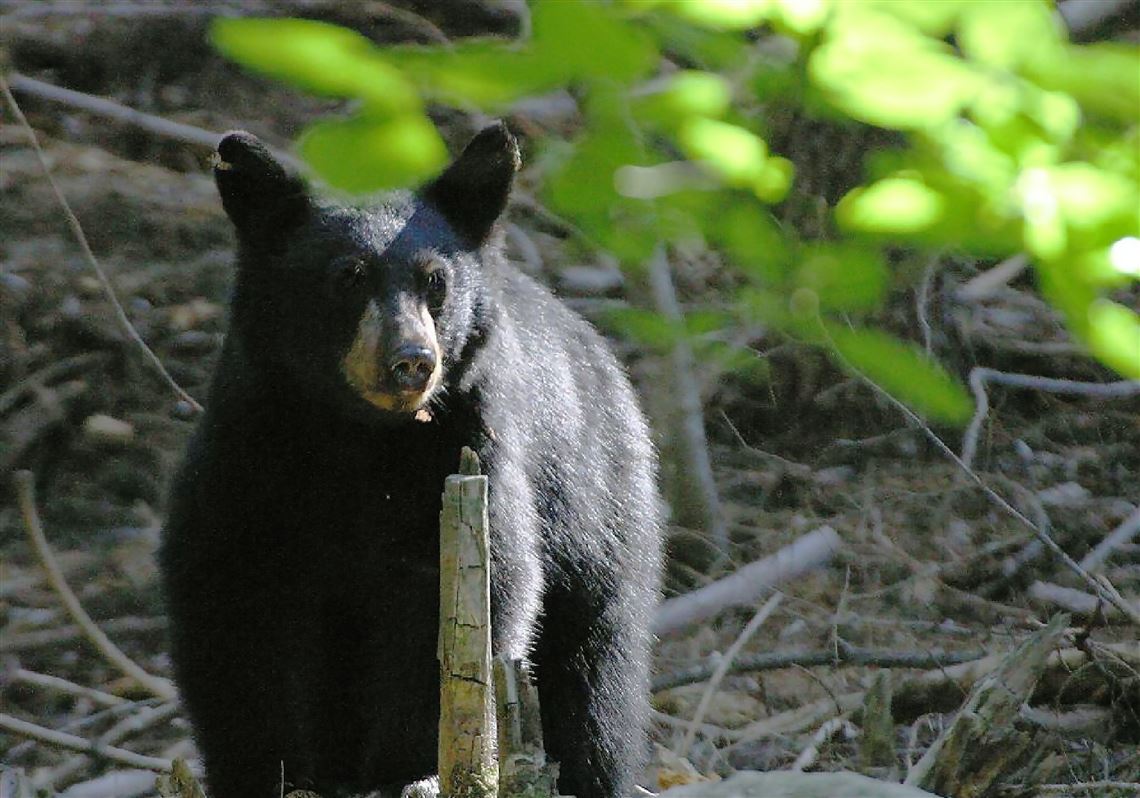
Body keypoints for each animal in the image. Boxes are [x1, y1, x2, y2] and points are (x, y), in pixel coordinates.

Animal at [156, 125, 665, 798]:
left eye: (434, 281)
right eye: (348, 277)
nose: (411, 361)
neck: (358, 436)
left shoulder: (468, 449)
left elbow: (462, 601)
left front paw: (408, 770)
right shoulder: (250, 449)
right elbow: (226, 599)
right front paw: (263, 769)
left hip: (598, 516)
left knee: (595, 683)